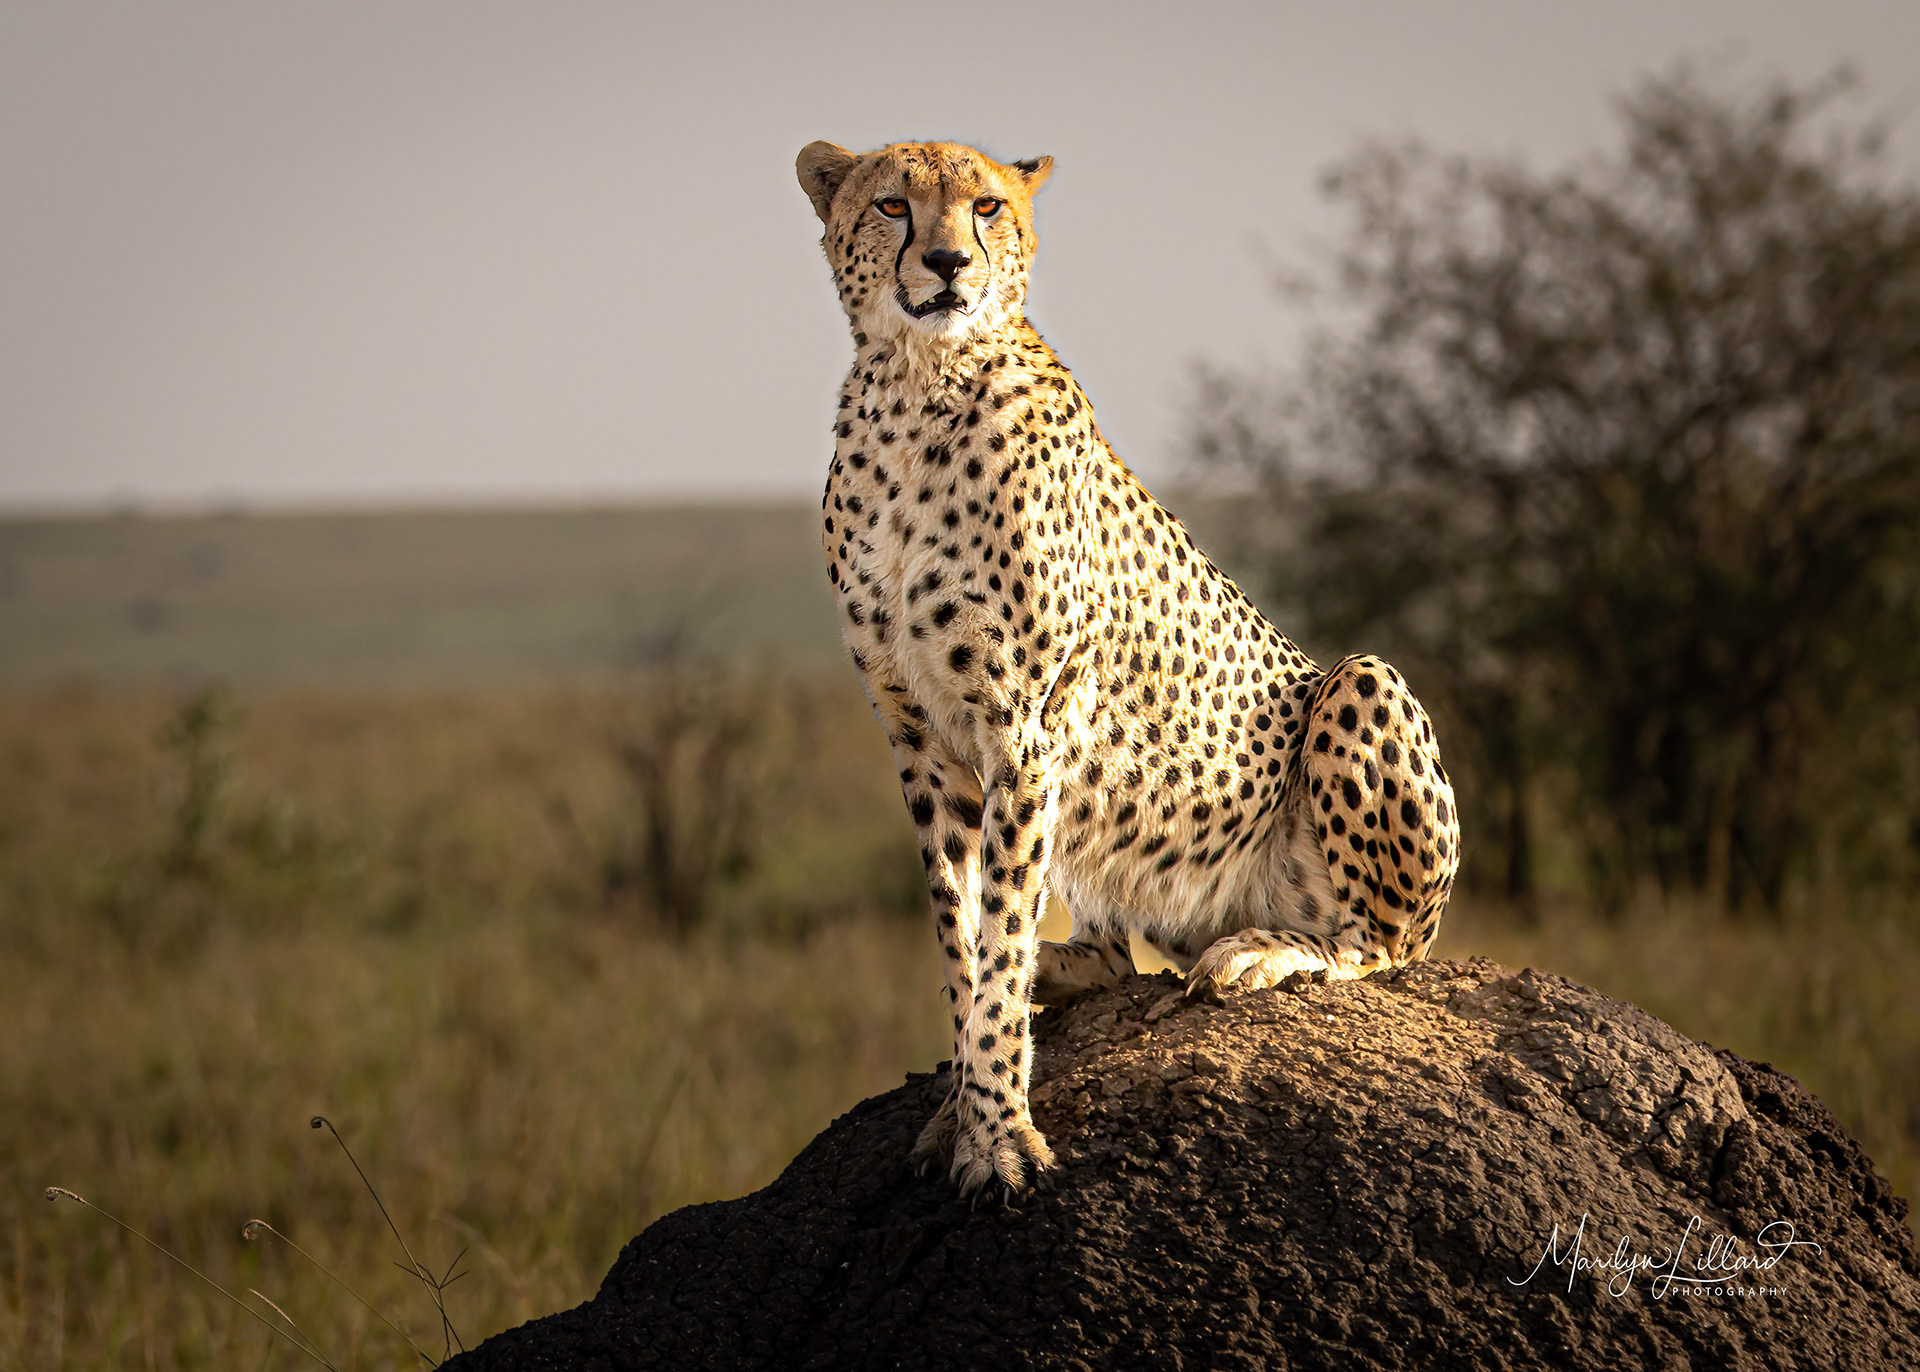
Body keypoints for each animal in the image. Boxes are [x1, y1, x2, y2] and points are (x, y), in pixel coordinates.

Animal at [796, 139, 1459, 1200]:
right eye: (893, 205)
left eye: (986, 206)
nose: (947, 262)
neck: (915, 387)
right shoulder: (920, 737)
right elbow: (963, 934)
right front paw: (967, 1096)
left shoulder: (1024, 729)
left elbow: (1001, 925)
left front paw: (997, 1134)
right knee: (1108, 958)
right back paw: (1062, 969)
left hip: (1362, 683)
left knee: (1383, 948)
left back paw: (1262, 953)